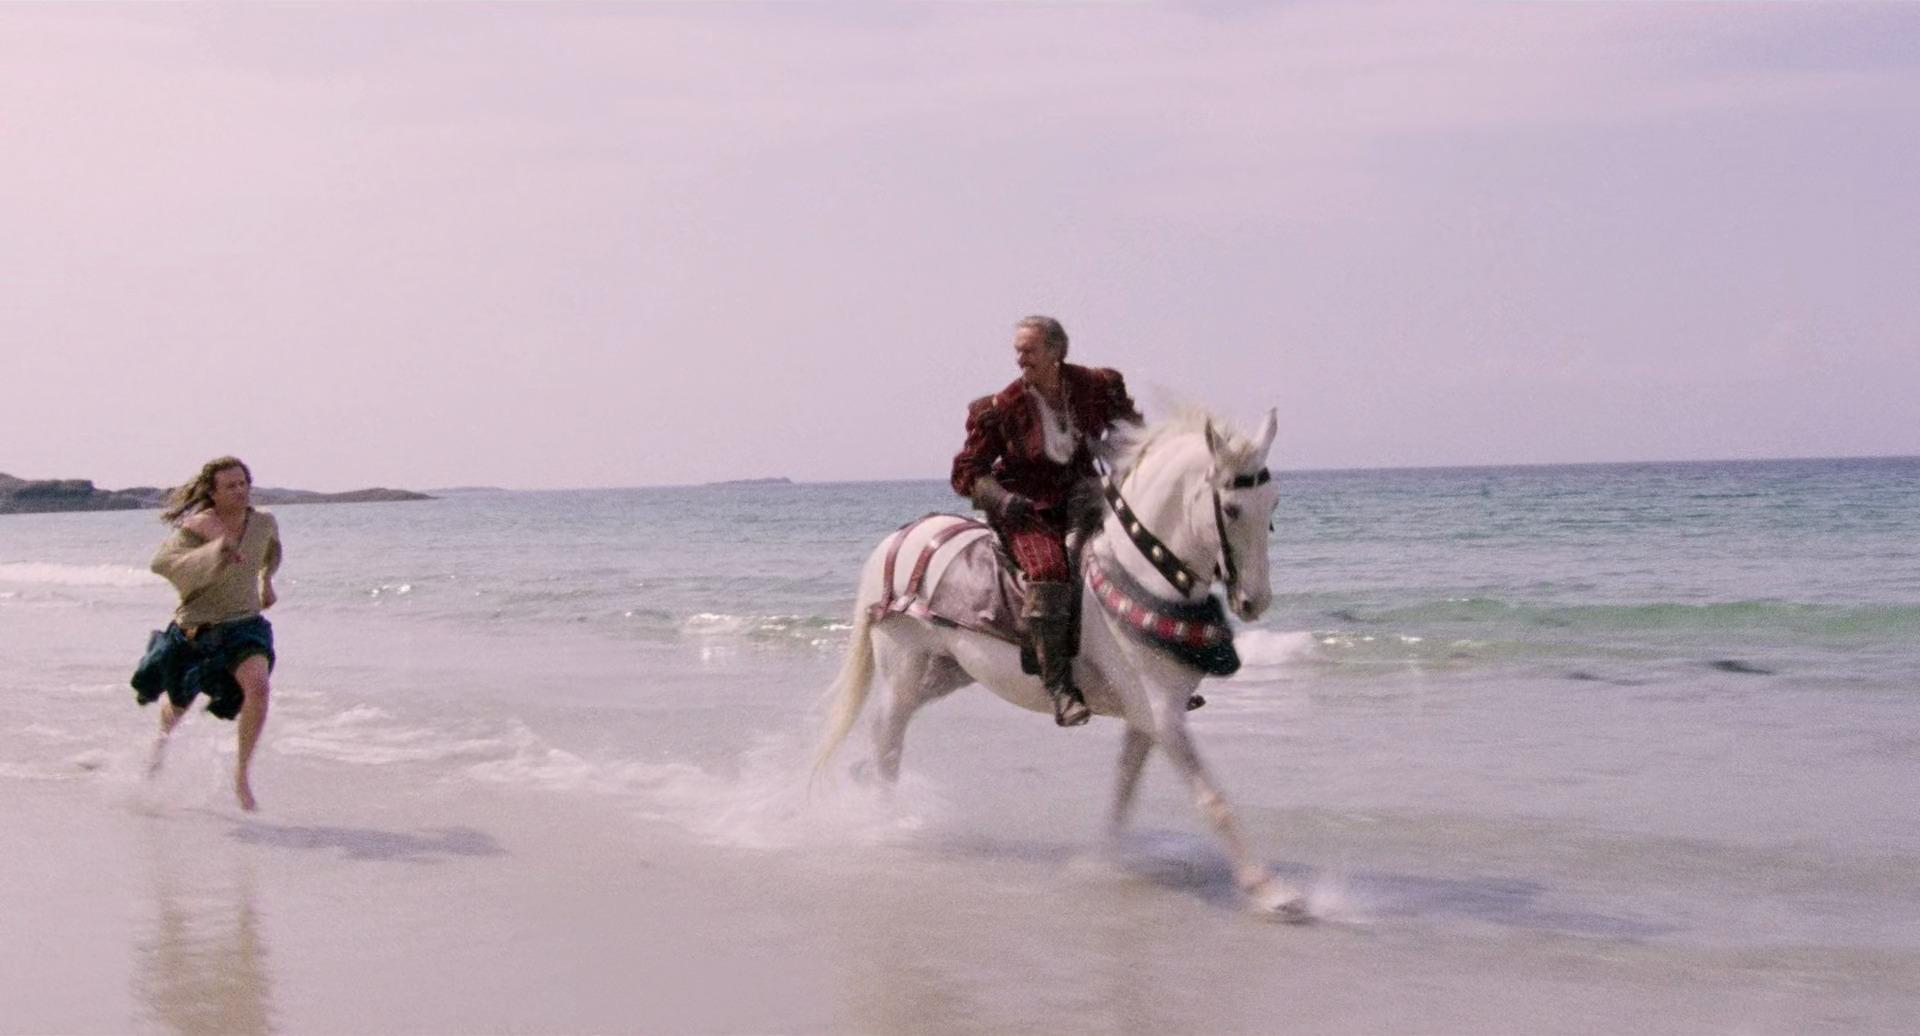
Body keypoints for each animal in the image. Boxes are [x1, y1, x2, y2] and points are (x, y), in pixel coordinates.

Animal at [815, 408, 1304, 917]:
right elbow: (1212, 798)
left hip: (946, 670)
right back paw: (886, 822)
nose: (1255, 601)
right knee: (887, 736)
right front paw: (1270, 890)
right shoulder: (1163, 714)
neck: (1138, 573)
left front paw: (1102, 861)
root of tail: (898, 540)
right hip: (903, 668)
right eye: (1231, 509)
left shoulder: (1146, 717)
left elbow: (1124, 787)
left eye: (1272, 503)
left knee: (888, 730)